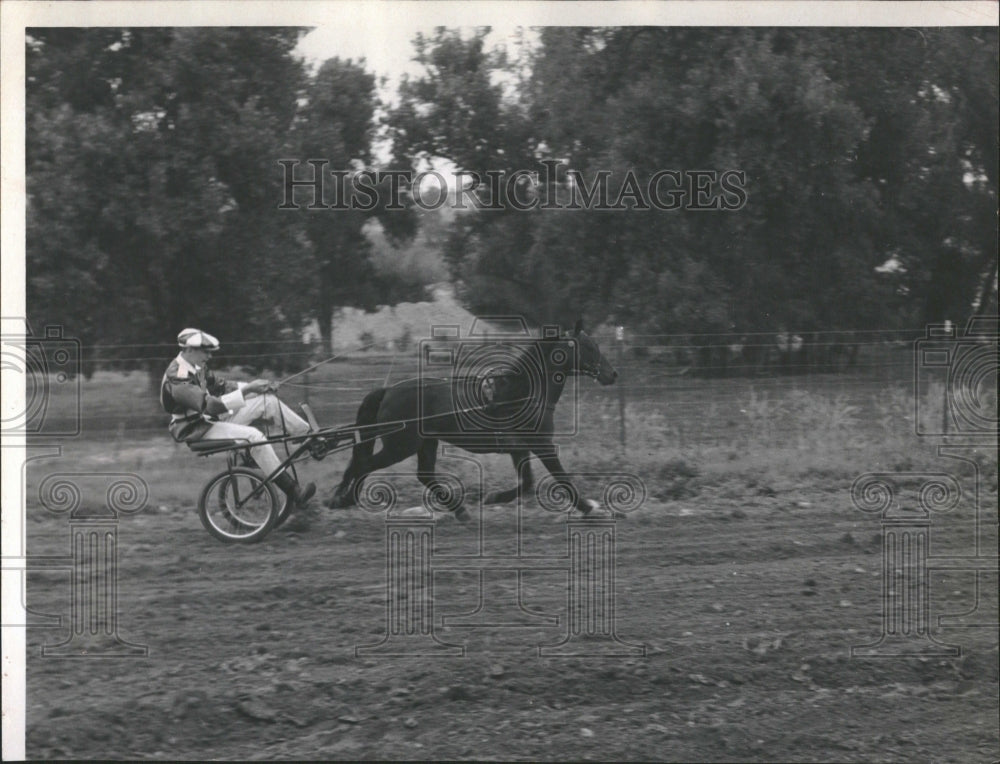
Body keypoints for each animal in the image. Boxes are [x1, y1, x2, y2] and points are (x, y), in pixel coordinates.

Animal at [330, 320, 616, 524]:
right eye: (588, 346)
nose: (612, 374)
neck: (520, 393)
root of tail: (388, 391)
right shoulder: (542, 445)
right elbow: (561, 479)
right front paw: (589, 508)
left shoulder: (519, 448)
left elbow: (527, 483)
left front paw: (493, 497)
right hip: (400, 446)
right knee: (364, 464)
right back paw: (342, 499)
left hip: (425, 443)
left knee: (423, 474)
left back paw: (460, 511)